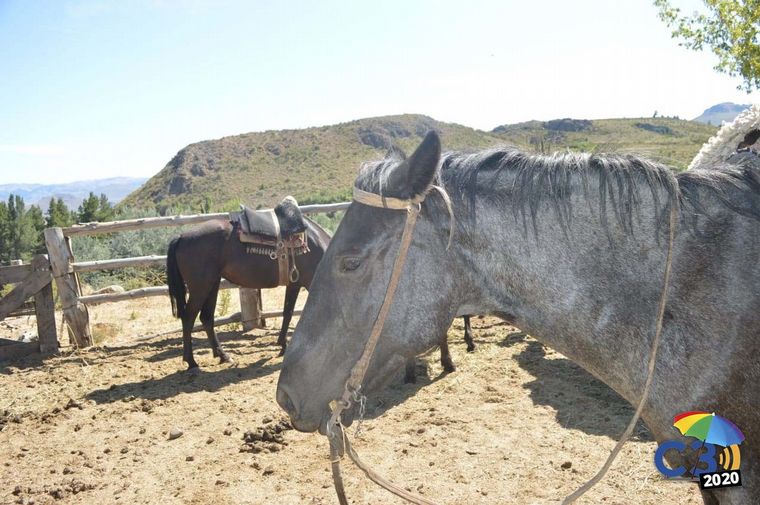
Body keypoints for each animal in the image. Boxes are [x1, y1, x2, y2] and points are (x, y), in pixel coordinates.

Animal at [166, 209, 332, 370]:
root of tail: (181, 237)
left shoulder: (294, 284)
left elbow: (288, 313)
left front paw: (283, 345)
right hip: (200, 287)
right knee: (188, 318)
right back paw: (191, 362)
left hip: (212, 284)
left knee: (206, 318)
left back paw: (223, 355)